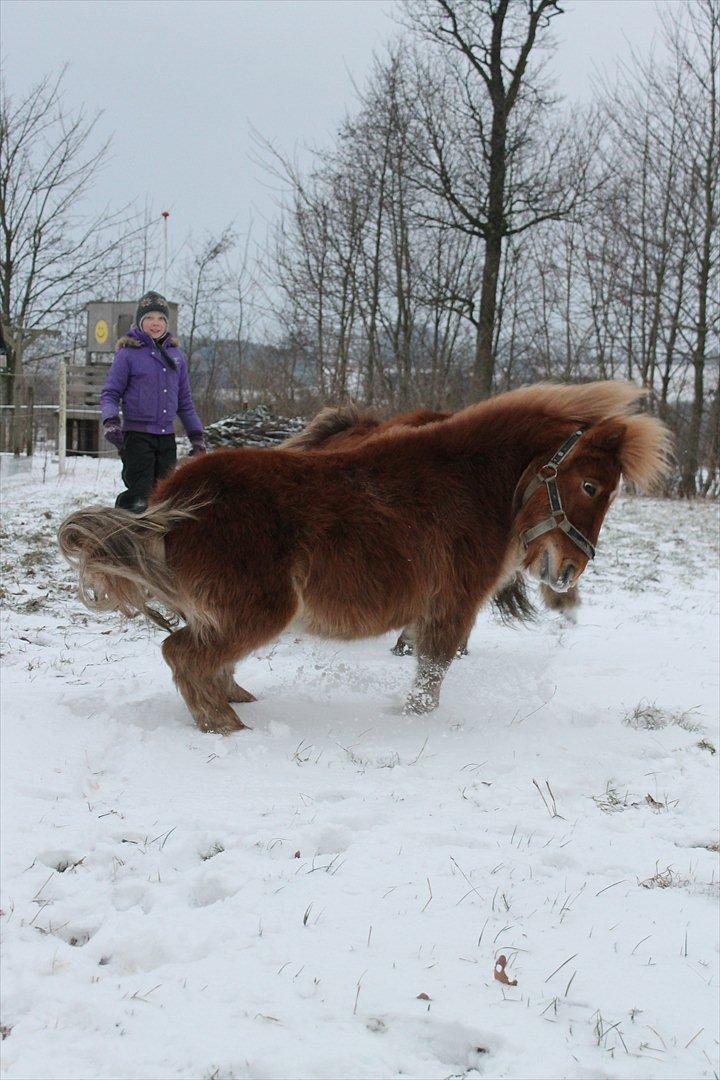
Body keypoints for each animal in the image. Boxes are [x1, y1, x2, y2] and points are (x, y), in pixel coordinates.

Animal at [59, 380, 673, 734]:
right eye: (591, 486)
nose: (567, 573)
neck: (473, 484)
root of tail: (172, 502)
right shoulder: (452, 606)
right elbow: (430, 678)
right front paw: (413, 727)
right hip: (260, 610)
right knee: (182, 653)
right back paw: (225, 725)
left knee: (208, 658)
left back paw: (237, 701)